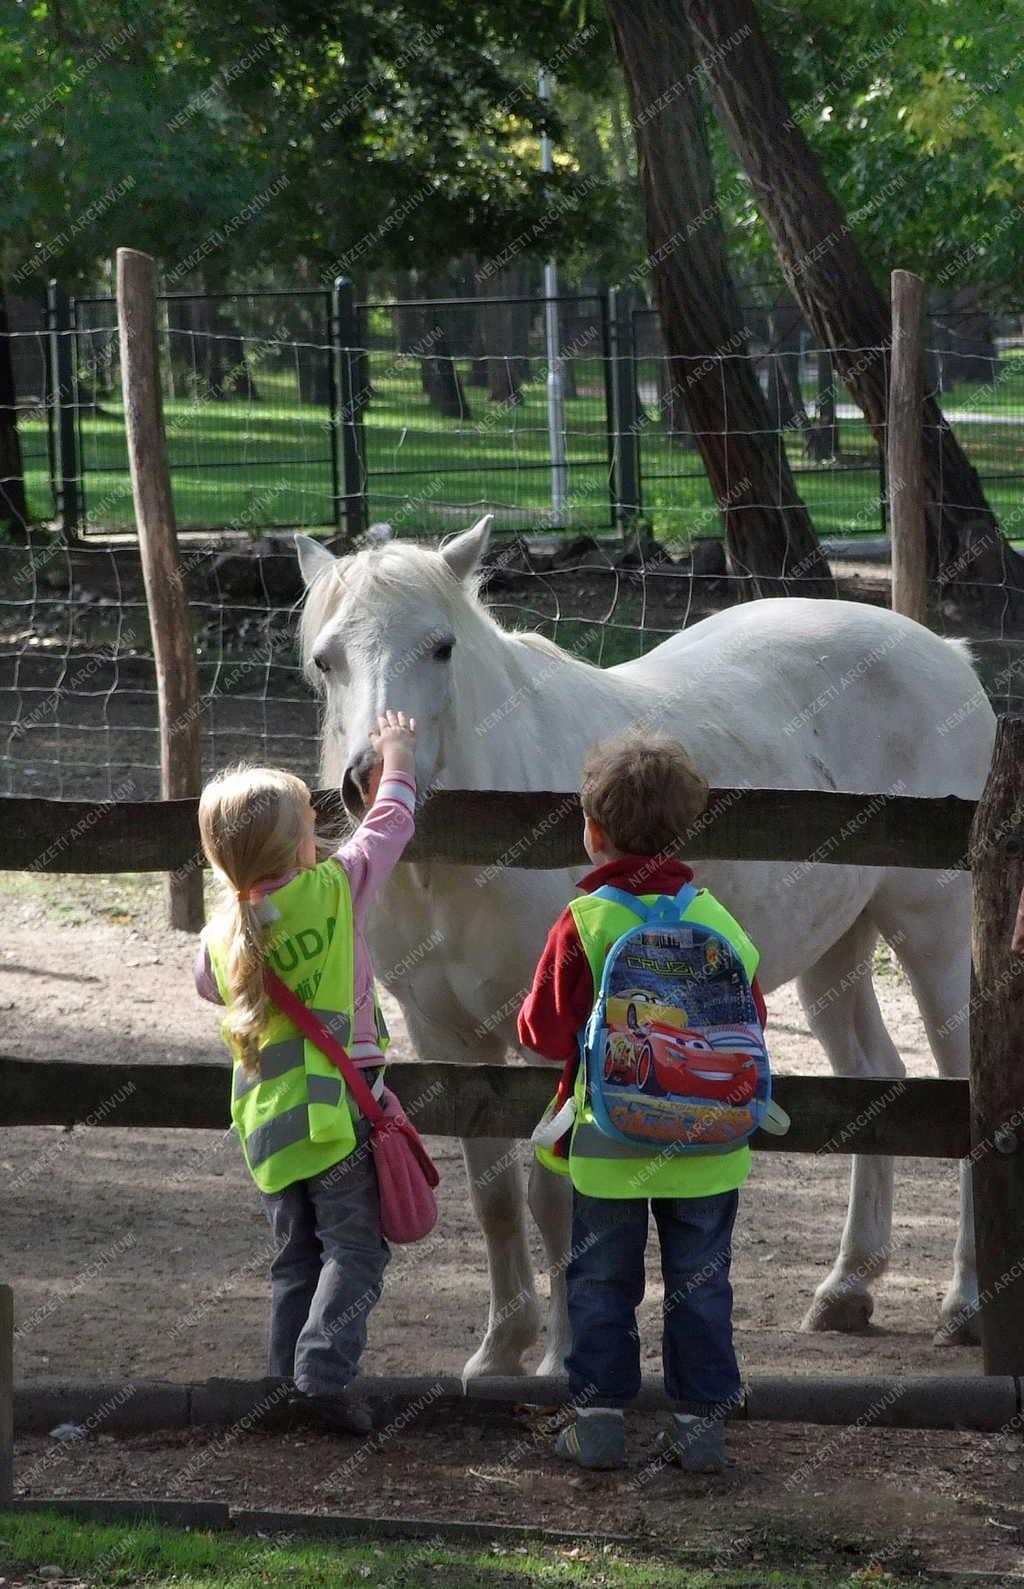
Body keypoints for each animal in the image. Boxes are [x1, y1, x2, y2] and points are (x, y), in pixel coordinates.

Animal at [294, 514, 992, 1372]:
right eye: (326, 659)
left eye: (441, 646)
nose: (369, 778)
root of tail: (946, 654)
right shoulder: (448, 1038)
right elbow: (494, 1195)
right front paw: (500, 1351)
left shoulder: (550, 1043)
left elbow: (553, 1195)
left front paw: (560, 1359)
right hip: (836, 947)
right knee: (874, 1080)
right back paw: (848, 1287)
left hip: (932, 930)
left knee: (958, 1084)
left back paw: (965, 1303)